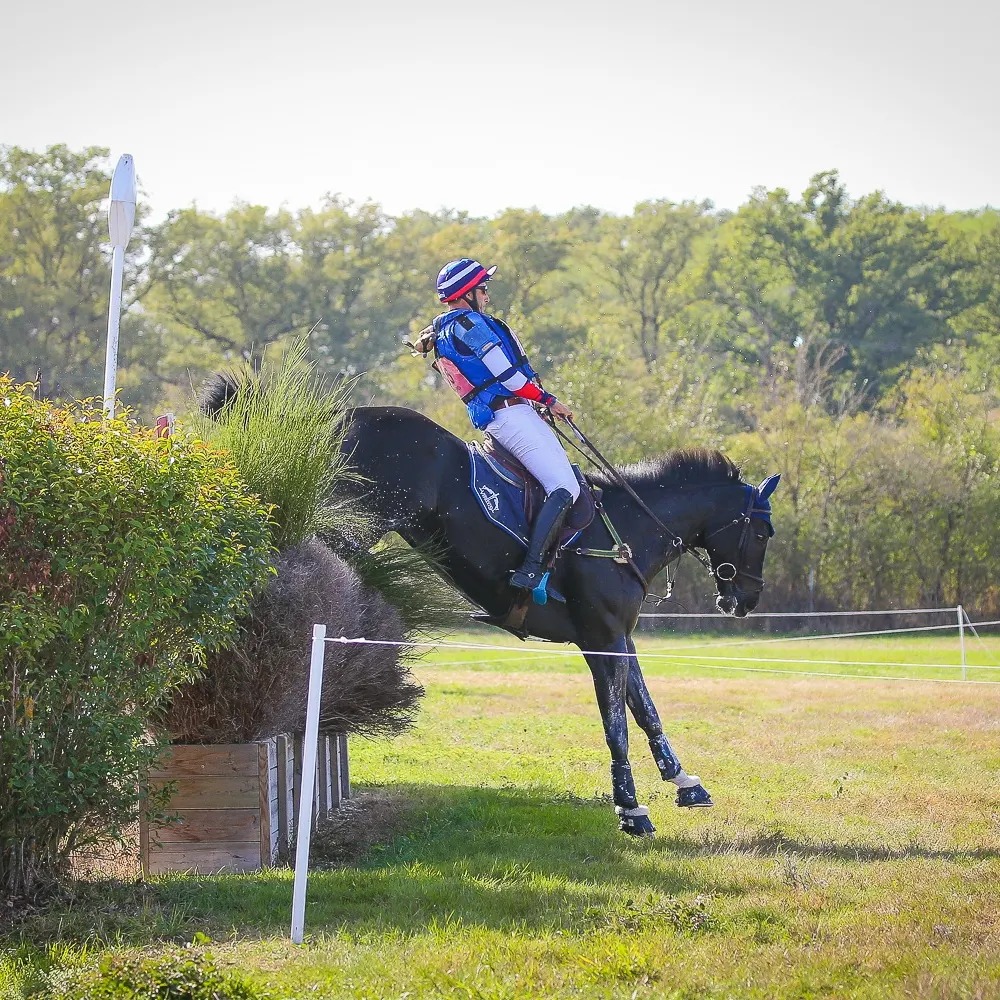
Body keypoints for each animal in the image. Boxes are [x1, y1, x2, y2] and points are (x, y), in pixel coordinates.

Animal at [332, 406, 776, 836]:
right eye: (762, 533)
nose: (748, 599)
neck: (631, 530)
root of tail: (348, 416)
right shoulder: (603, 640)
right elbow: (617, 726)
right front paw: (630, 809)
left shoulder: (621, 638)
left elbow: (646, 710)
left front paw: (685, 782)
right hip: (358, 524)